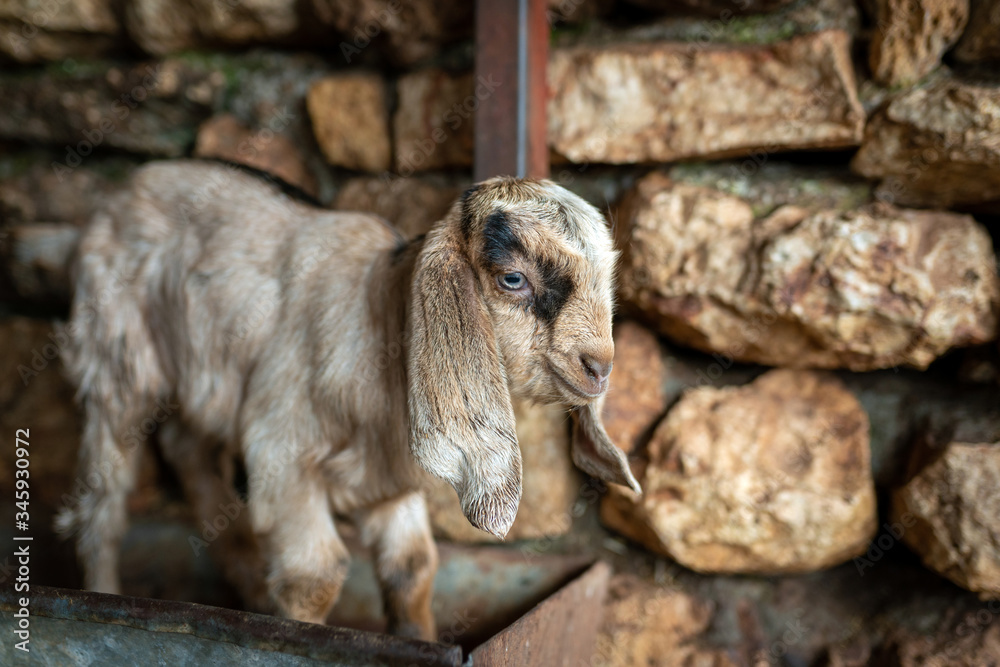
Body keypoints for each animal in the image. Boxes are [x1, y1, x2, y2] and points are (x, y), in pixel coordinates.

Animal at [57, 159, 641, 640]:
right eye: (513, 278)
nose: (599, 367)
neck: (378, 317)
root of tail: (124, 188)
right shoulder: (281, 451)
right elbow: (314, 576)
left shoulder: (390, 480)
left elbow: (412, 569)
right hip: (115, 364)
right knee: (103, 504)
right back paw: (103, 593)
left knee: (187, 449)